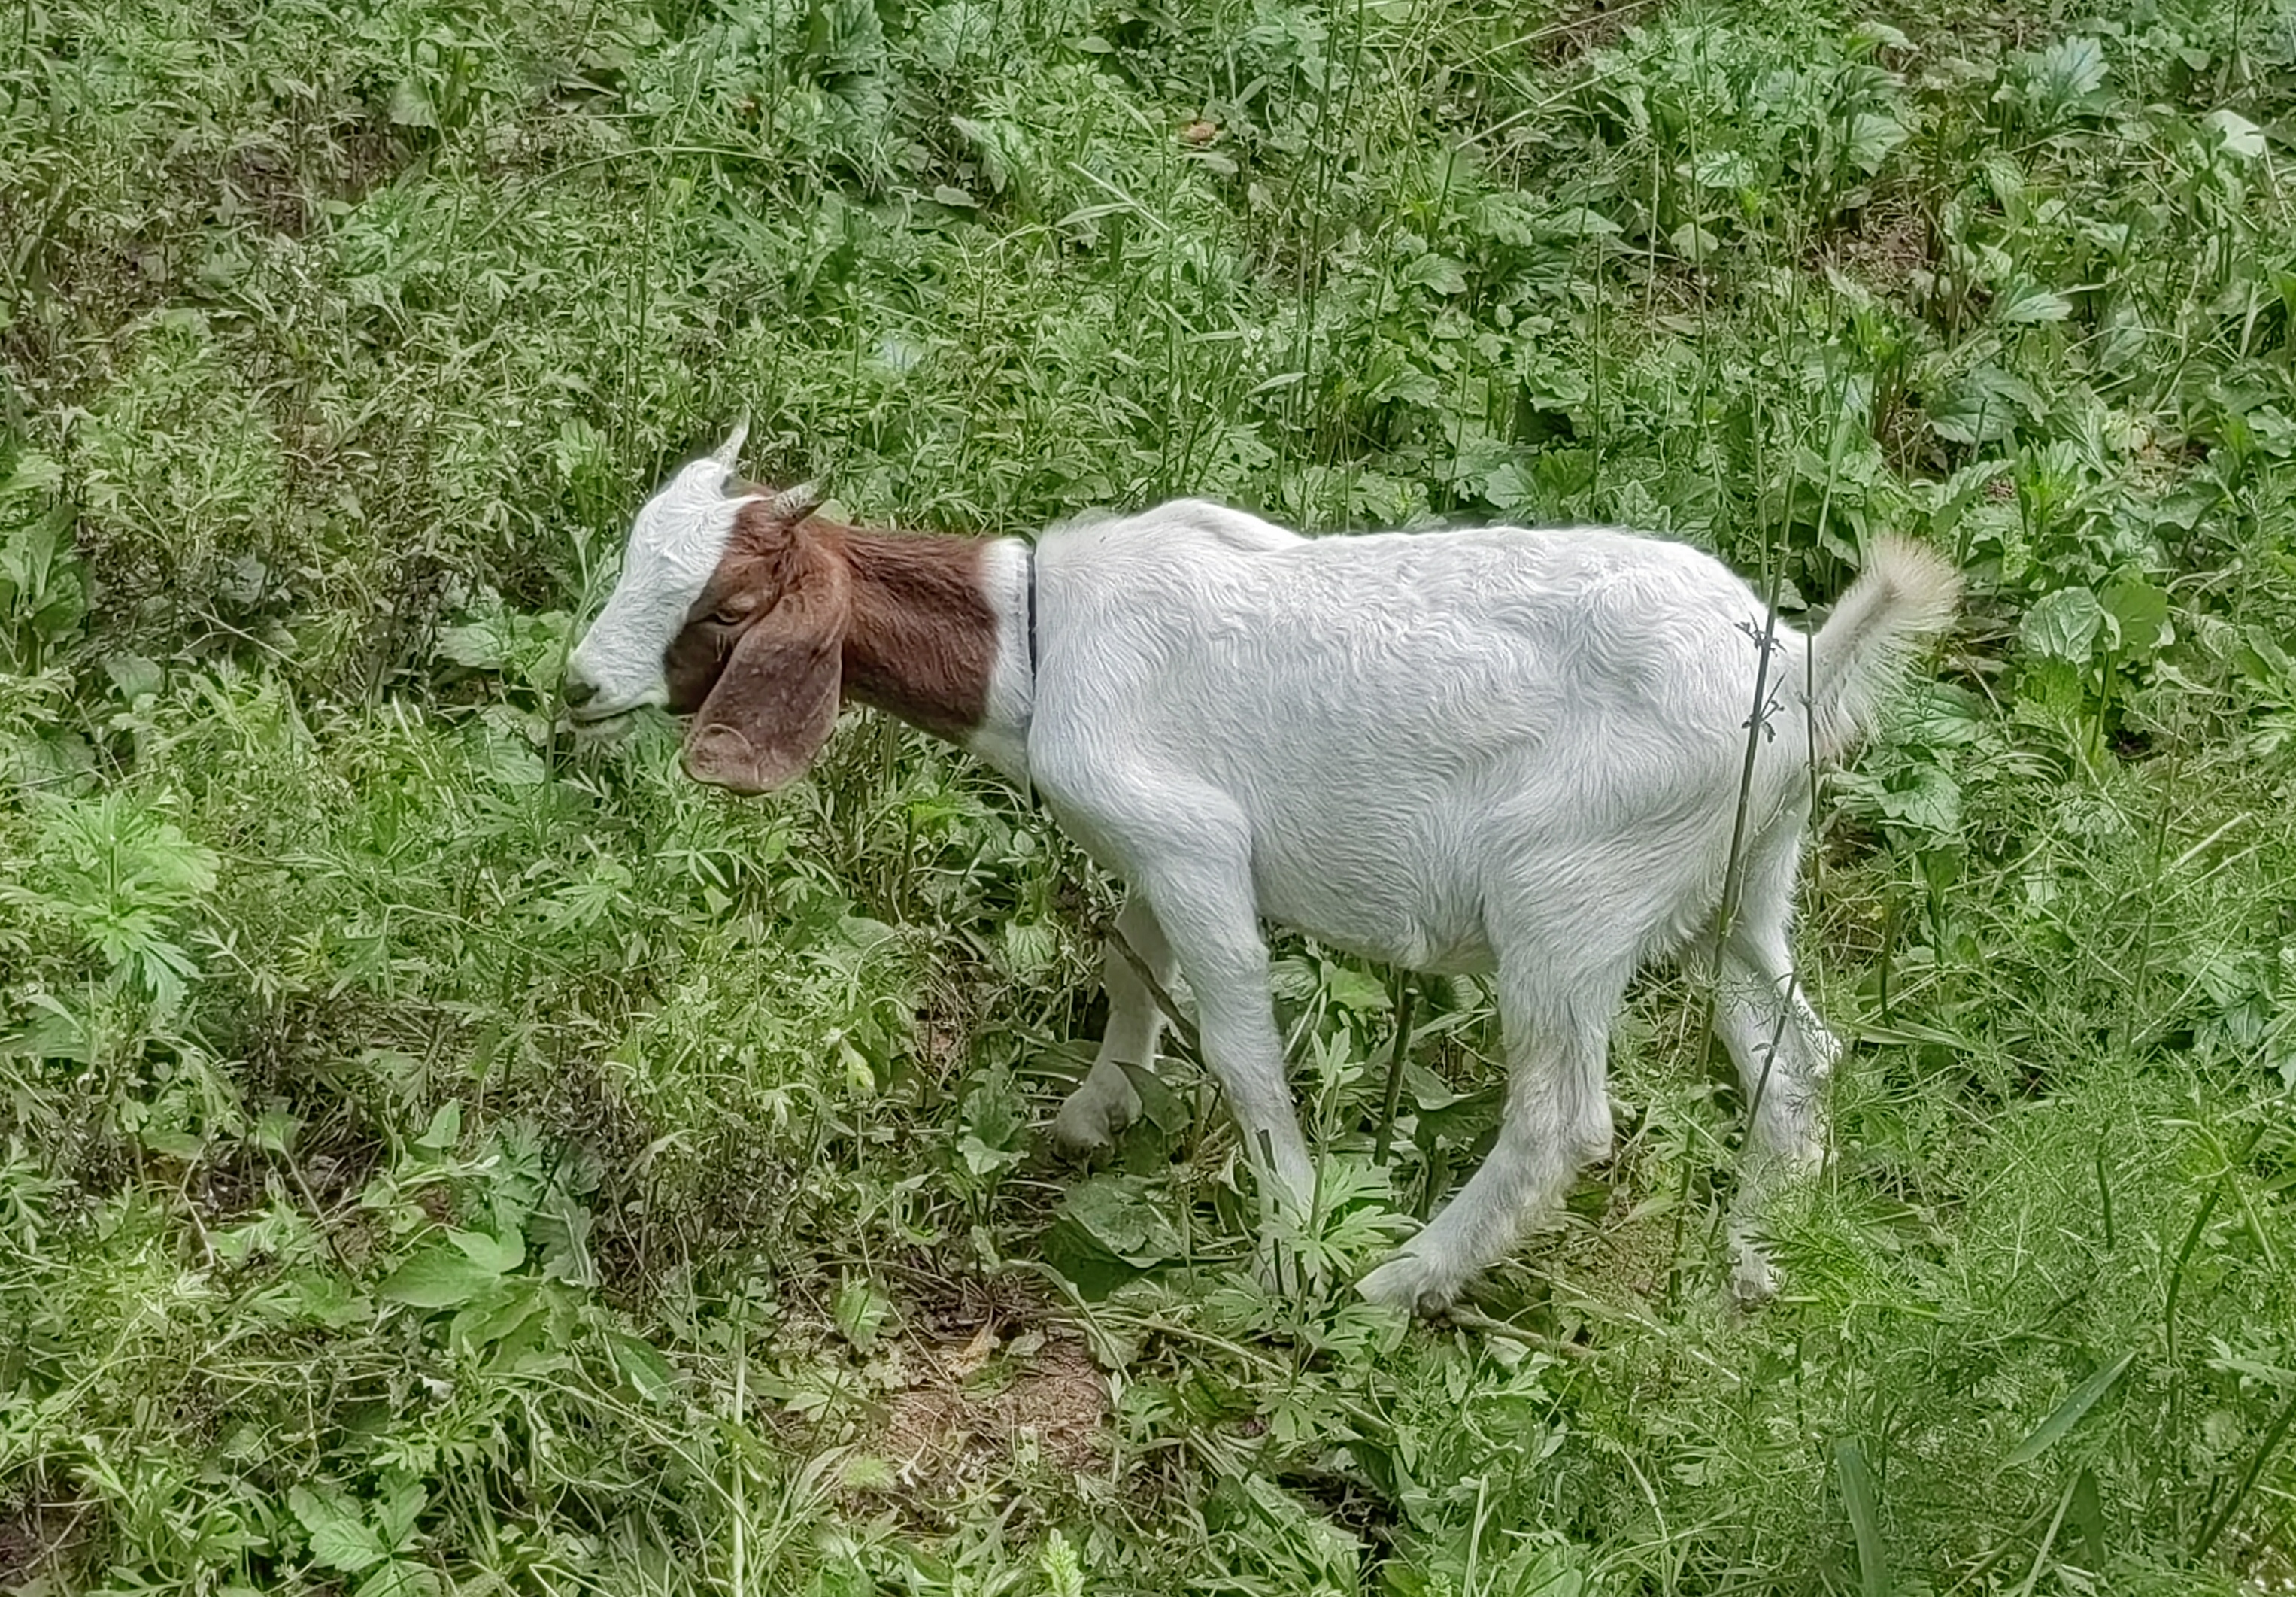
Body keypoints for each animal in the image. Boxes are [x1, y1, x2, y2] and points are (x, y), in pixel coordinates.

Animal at [569, 427, 1956, 1314]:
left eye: (728, 604)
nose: (577, 684)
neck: (1037, 642)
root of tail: (1801, 666)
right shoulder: (1142, 848)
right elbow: (1129, 960)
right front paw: (1094, 1111)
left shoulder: (1193, 845)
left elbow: (1239, 1042)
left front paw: (1289, 1243)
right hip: (1747, 875)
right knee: (1792, 1046)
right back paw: (1753, 1263)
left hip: (1564, 902)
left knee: (1564, 1118)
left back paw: (1398, 1281)